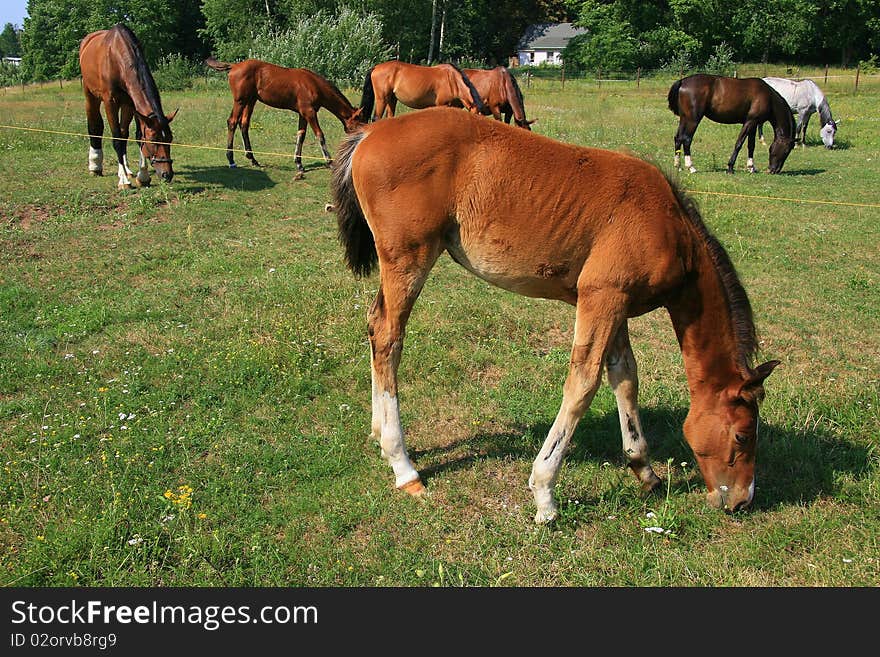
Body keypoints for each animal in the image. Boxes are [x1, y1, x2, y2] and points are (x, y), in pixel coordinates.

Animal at [78, 23, 176, 187]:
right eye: (153, 140)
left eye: (170, 138)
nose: (166, 174)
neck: (117, 58)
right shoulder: (110, 102)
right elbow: (117, 139)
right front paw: (123, 180)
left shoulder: (131, 104)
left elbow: (136, 136)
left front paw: (142, 176)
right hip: (90, 95)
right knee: (95, 126)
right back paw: (96, 166)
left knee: (124, 132)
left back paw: (127, 169)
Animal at [205, 57, 364, 177]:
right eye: (358, 125)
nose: (357, 144)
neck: (314, 85)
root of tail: (234, 66)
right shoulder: (309, 112)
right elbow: (320, 135)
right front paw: (329, 162)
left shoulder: (303, 114)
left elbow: (301, 135)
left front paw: (299, 163)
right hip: (240, 101)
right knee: (232, 122)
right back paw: (231, 159)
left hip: (251, 101)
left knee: (244, 124)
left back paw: (253, 159)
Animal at [330, 107, 776, 524]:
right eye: (742, 435)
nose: (742, 501)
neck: (665, 223)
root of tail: (369, 133)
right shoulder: (601, 297)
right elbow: (583, 384)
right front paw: (544, 494)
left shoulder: (615, 302)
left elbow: (625, 377)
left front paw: (644, 470)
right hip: (409, 259)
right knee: (388, 335)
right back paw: (403, 466)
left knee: (374, 327)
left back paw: (379, 436)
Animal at [668, 73, 796, 174]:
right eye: (786, 151)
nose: (774, 170)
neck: (768, 98)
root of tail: (683, 81)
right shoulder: (750, 122)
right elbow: (739, 143)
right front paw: (730, 167)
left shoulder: (754, 124)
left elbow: (751, 145)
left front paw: (751, 167)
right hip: (693, 120)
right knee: (687, 139)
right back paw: (691, 167)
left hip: (685, 118)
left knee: (678, 138)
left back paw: (678, 166)